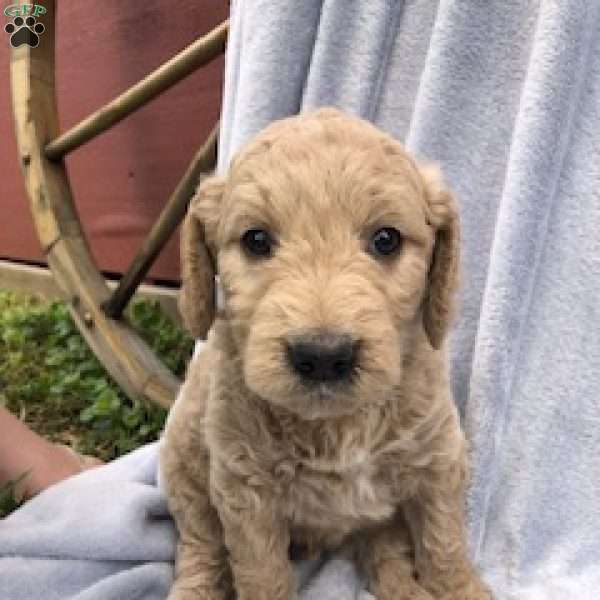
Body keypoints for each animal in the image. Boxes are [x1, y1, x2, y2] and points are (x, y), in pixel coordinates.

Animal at [162, 109, 490, 600]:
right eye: (256, 240)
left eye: (387, 239)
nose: (322, 356)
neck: (337, 424)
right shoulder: (246, 492)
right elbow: (262, 575)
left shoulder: (439, 459)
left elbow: (444, 545)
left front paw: (461, 589)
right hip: (184, 464)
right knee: (201, 544)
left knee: (386, 549)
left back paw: (403, 587)